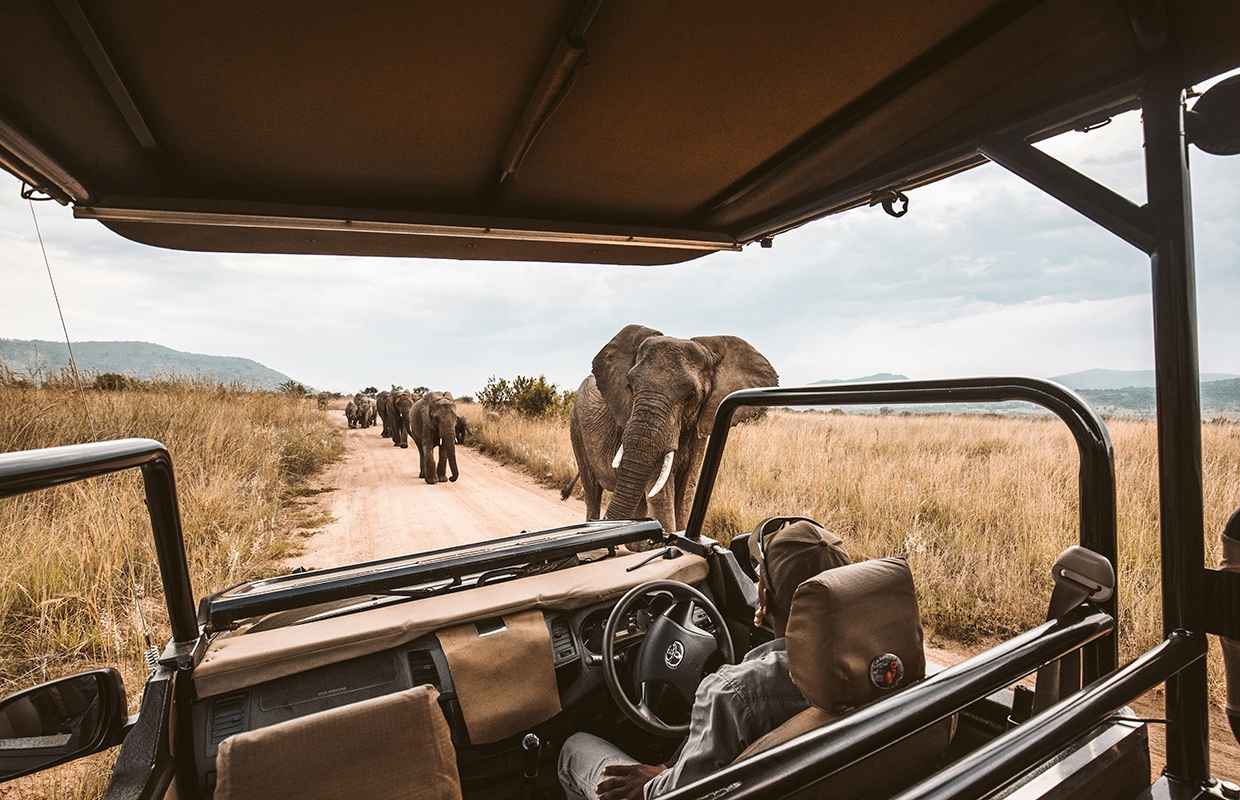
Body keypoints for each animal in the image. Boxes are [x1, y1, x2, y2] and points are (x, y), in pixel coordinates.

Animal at [569, 324, 777, 534]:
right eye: (630, 386)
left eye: (692, 395)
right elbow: (662, 496)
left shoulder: (700, 427)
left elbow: (686, 492)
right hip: (576, 426)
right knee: (592, 491)